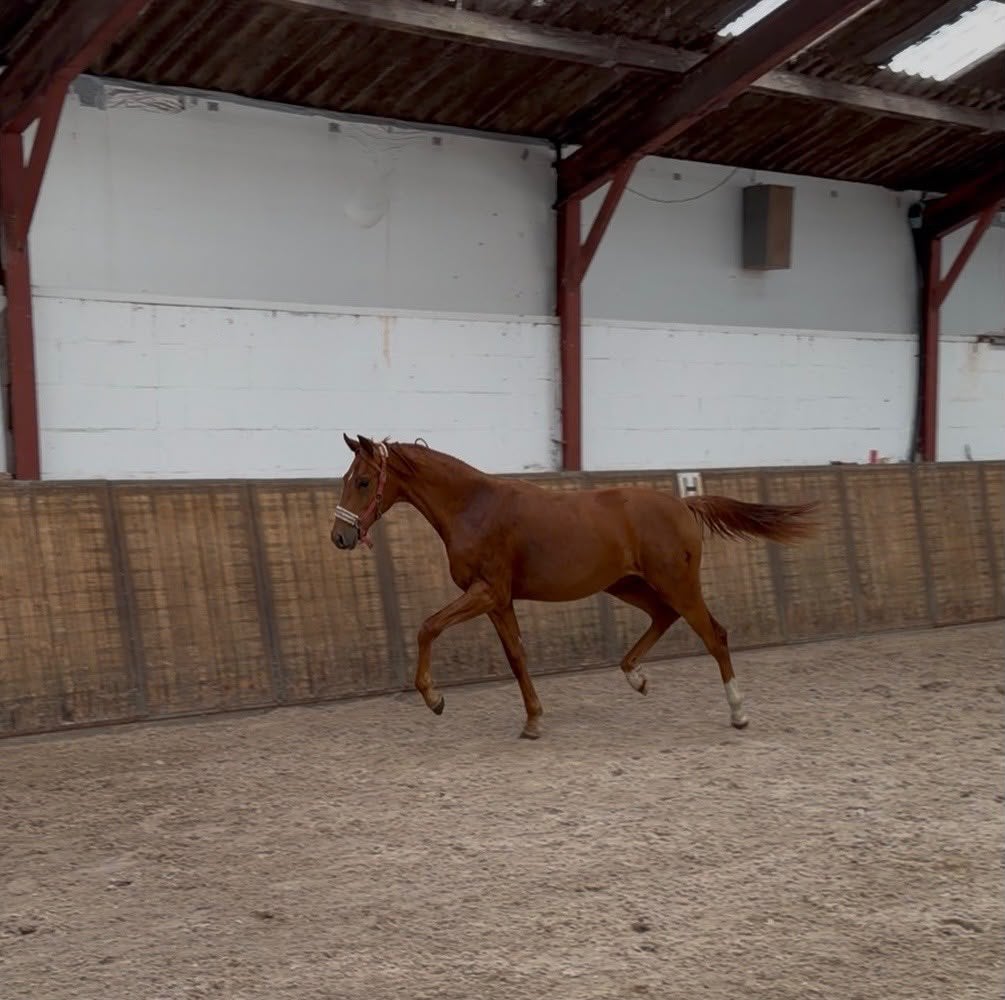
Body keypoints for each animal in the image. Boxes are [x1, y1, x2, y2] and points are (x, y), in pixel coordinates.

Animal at [332, 434, 816, 740]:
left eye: (364, 481)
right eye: (345, 479)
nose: (340, 536)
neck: (474, 507)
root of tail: (683, 504)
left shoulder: (486, 592)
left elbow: (428, 626)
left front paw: (435, 699)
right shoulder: (499, 601)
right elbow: (516, 657)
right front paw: (533, 721)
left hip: (676, 583)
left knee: (714, 634)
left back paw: (738, 712)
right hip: (625, 584)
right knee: (663, 616)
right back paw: (636, 677)